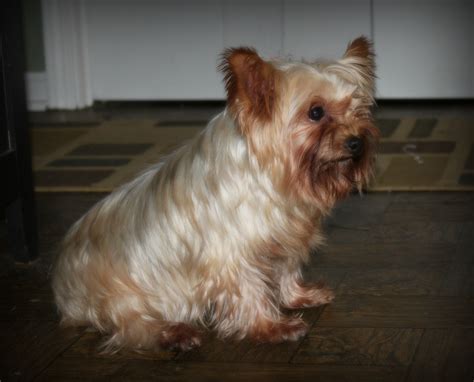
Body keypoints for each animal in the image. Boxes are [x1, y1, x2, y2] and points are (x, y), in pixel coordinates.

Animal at [51, 35, 378, 352]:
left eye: (358, 109)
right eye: (316, 112)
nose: (356, 142)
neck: (268, 177)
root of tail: (63, 287)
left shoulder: (286, 238)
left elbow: (286, 269)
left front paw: (298, 296)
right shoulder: (232, 253)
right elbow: (250, 291)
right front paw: (271, 328)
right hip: (121, 295)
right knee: (133, 326)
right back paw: (175, 333)